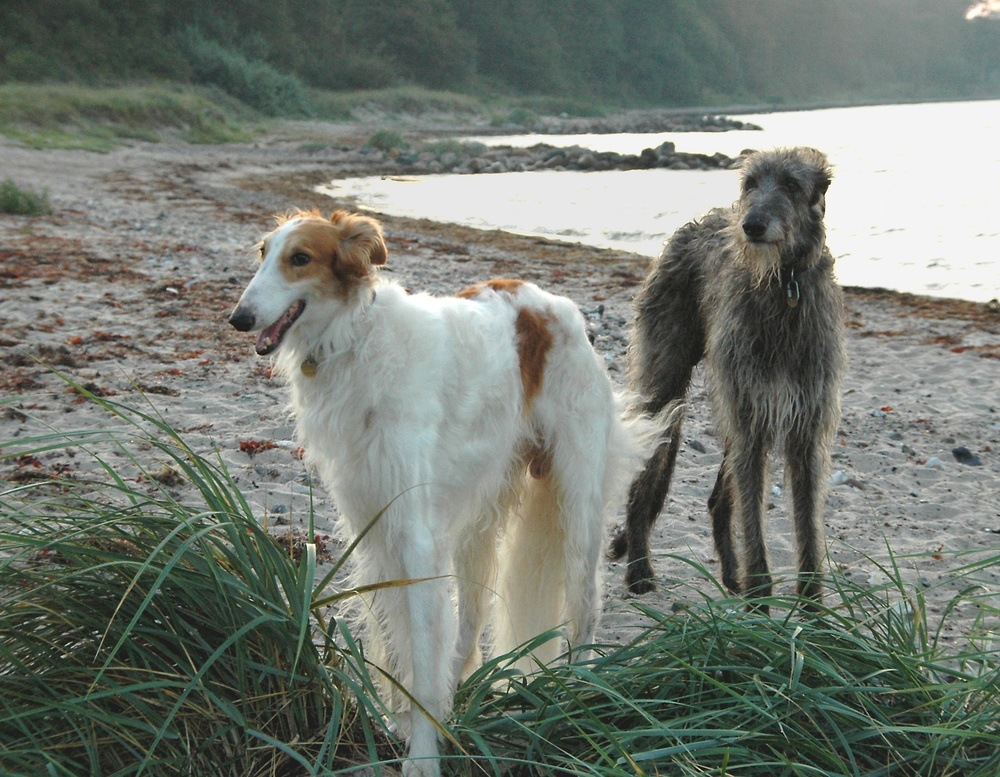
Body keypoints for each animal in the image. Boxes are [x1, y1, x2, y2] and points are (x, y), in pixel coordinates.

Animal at [231, 209, 644, 772]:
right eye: (262, 252)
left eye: (300, 258)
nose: (239, 317)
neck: (357, 341)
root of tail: (552, 306)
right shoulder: (374, 529)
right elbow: (400, 644)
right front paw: (401, 725)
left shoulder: (415, 536)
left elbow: (422, 653)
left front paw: (423, 755)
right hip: (478, 518)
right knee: (470, 620)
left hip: (577, 503)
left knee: (584, 609)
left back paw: (576, 697)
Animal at [608, 142, 844, 608]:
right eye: (750, 183)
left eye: (791, 185)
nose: (751, 226)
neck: (782, 286)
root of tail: (692, 226)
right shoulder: (752, 417)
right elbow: (753, 518)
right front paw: (761, 601)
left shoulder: (807, 423)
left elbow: (807, 520)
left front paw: (813, 610)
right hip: (666, 381)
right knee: (644, 485)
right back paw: (640, 569)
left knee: (720, 499)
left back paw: (732, 577)